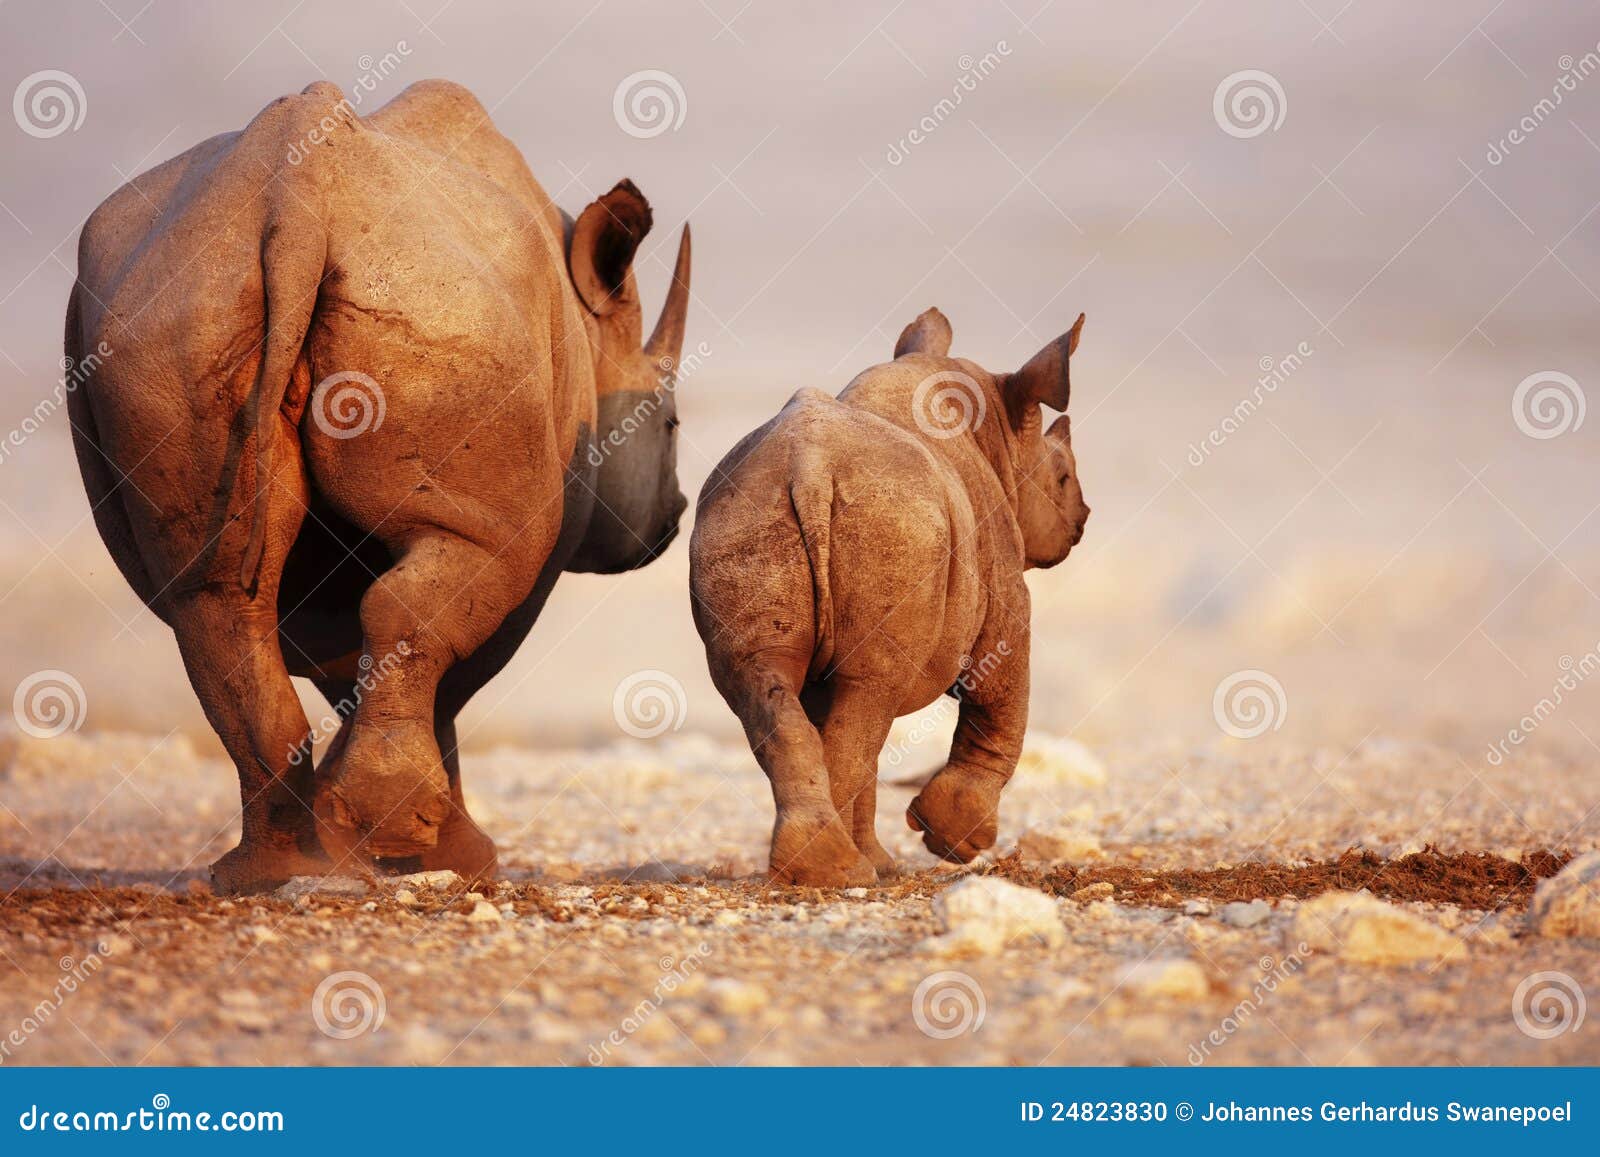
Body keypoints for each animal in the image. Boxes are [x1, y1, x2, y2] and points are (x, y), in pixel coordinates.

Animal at [688, 307, 1088, 889]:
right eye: (1061, 477)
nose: (1083, 517)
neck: (998, 437)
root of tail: (809, 469)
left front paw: (885, 859)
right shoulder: (1003, 582)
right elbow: (1000, 696)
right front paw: (953, 840)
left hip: (743, 515)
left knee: (772, 686)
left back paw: (826, 870)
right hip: (891, 526)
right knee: (867, 699)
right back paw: (847, 872)